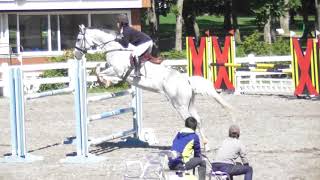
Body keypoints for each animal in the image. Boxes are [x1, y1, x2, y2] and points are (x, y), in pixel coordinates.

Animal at [75, 24, 235, 150]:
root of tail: (187, 80)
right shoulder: (115, 71)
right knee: (198, 120)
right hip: (190, 103)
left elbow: (100, 72)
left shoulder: (118, 71)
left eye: (78, 39)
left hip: (180, 105)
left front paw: (104, 81)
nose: (76, 55)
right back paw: (206, 145)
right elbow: (100, 67)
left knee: (190, 121)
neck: (114, 49)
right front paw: (106, 81)